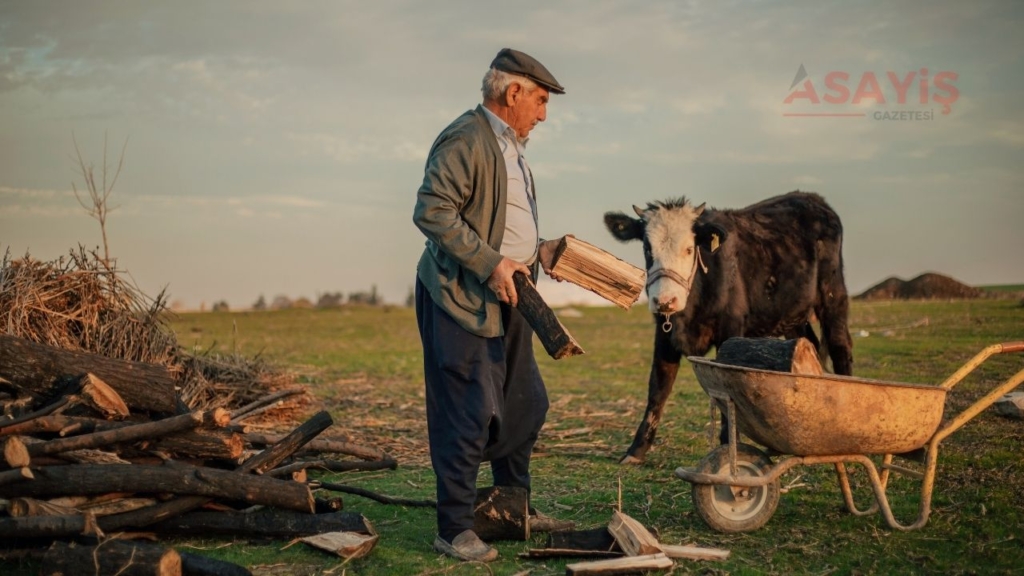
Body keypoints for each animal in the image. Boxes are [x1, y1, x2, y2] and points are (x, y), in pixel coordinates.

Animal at [602, 190, 851, 463]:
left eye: (689, 249)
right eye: (648, 248)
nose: (665, 300)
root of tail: (812, 198)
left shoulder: (730, 329)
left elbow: (725, 385)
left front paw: (729, 445)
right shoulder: (665, 334)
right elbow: (658, 387)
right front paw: (636, 450)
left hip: (833, 295)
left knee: (841, 346)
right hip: (792, 315)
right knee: (809, 348)